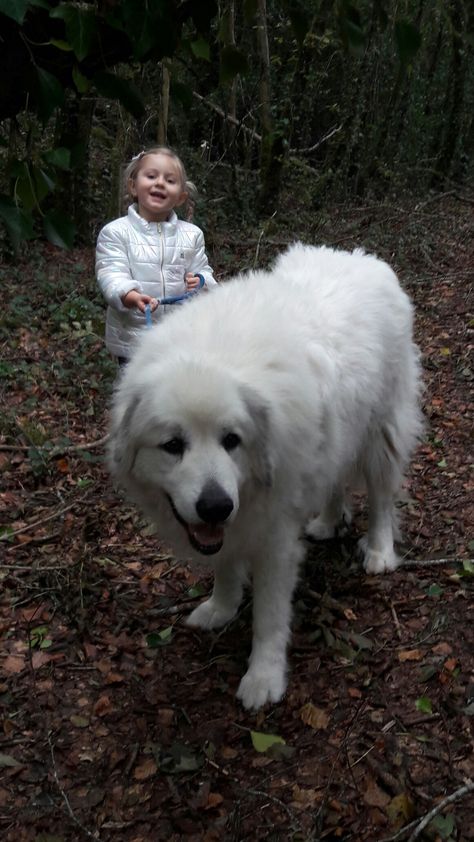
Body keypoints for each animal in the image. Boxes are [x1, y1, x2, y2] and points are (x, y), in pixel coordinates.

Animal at [110, 241, 422, 708]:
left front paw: (264, 677)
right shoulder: (228, 525)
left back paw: (380, 552)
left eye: (232, 440)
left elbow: (269, 616)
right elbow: (223, 564)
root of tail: (365, 258)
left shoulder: (274, 539)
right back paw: (328, 522)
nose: (216, 505)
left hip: (380, 433)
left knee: (382, 497)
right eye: (173, 445)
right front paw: (221, 608)